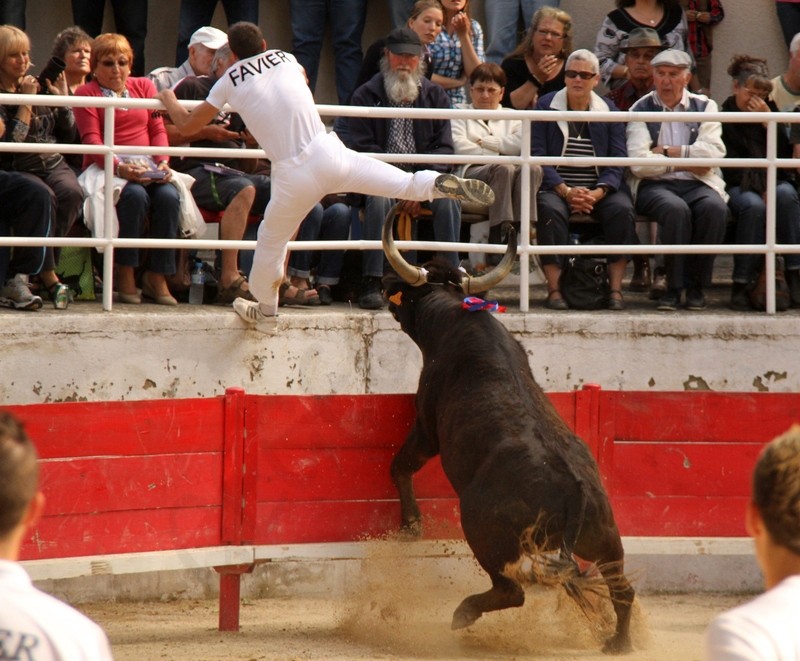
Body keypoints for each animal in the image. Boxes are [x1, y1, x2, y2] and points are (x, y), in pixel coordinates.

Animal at [382, 209, 636, 652]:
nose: (383, 285)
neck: (451, 319)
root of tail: (574, 492)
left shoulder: (427, 428)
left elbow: (401, 465)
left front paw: (411, 526)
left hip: (484, 532)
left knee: (511, 591)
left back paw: (462, 614)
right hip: (604, 537)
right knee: (621, 588)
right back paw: (617, 642)